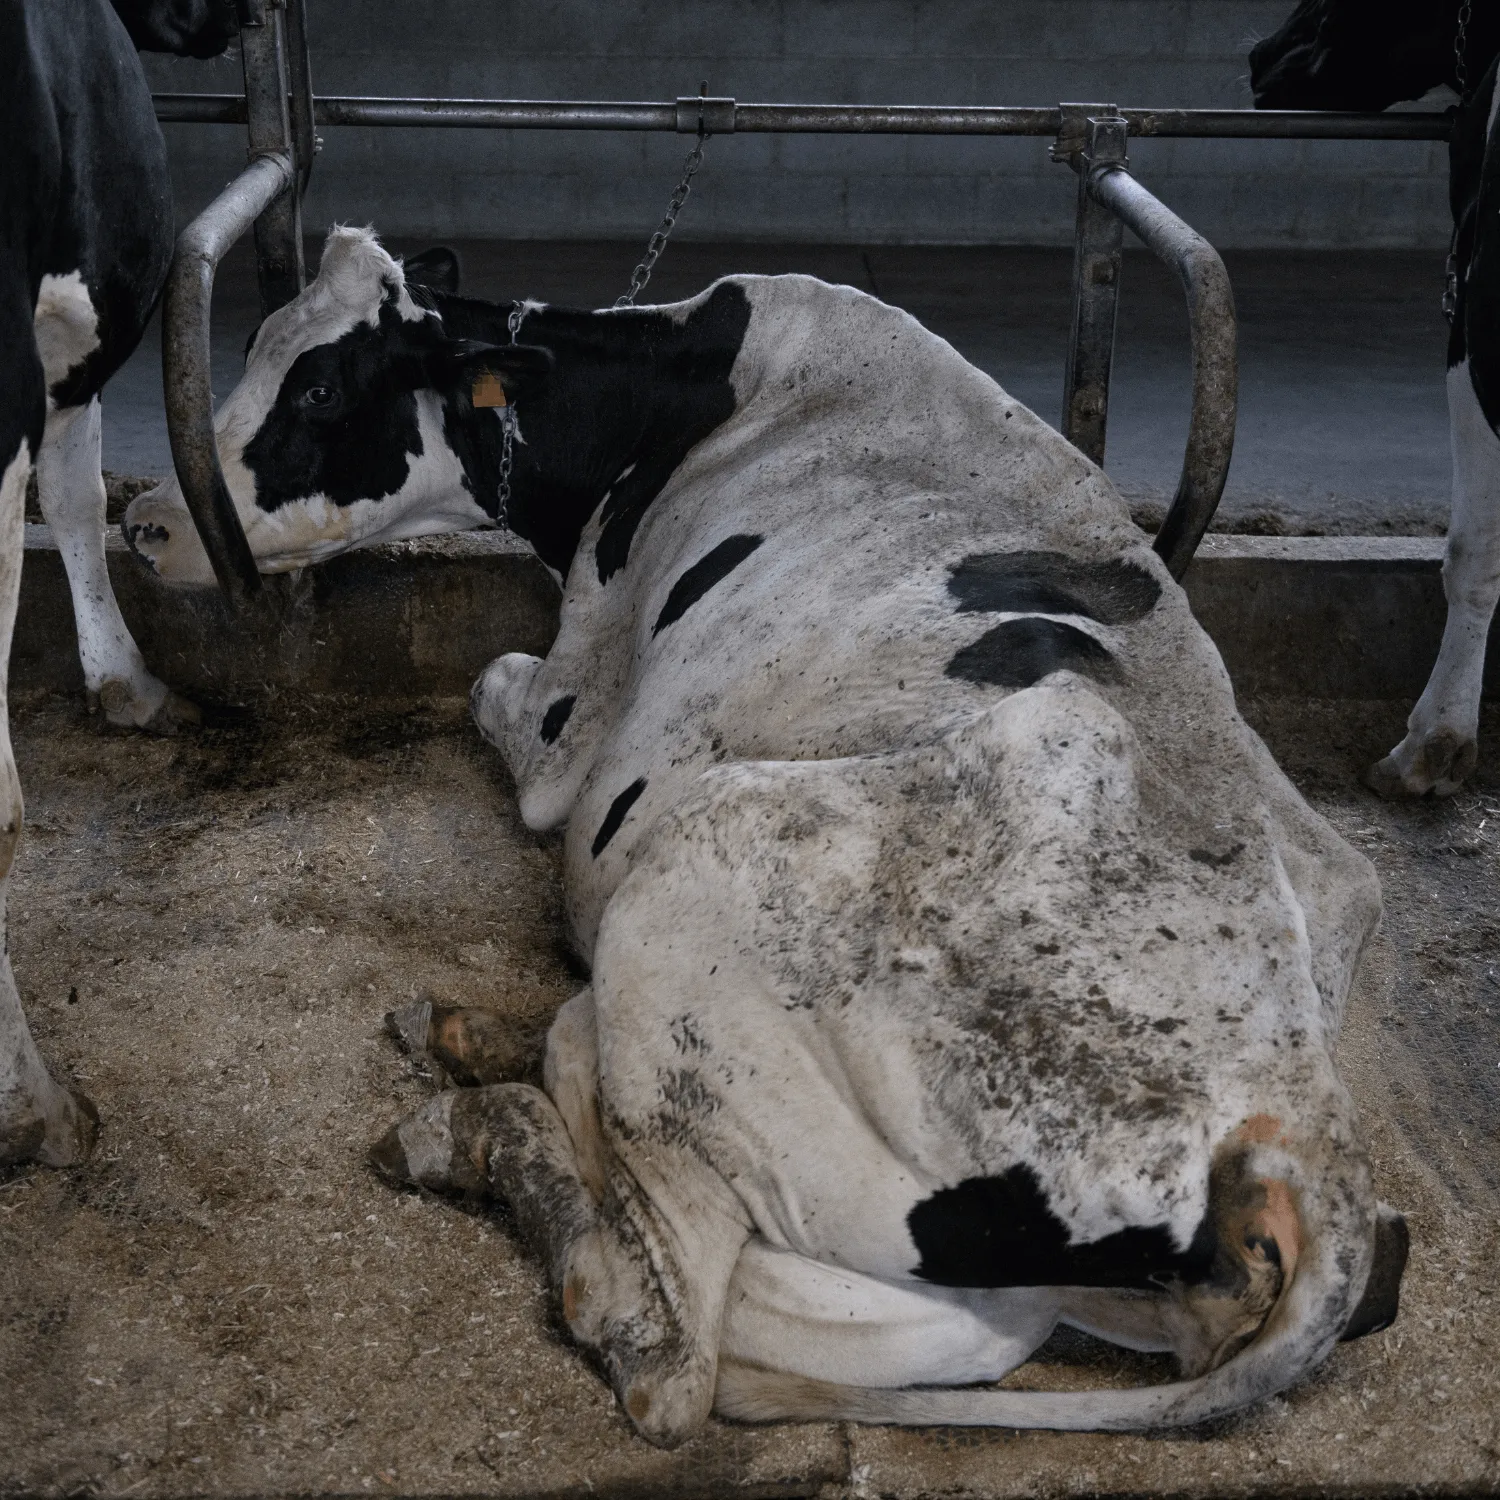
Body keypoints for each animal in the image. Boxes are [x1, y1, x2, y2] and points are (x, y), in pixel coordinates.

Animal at [123, 227, 1409, 1442]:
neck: (684, 397)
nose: (141, 522)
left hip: (702, 874)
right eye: (254, 344)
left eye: (322, 389)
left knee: (663, 1350)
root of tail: (1293, 1120)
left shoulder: (575, 726)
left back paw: (475, 1124)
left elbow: (494, 684)